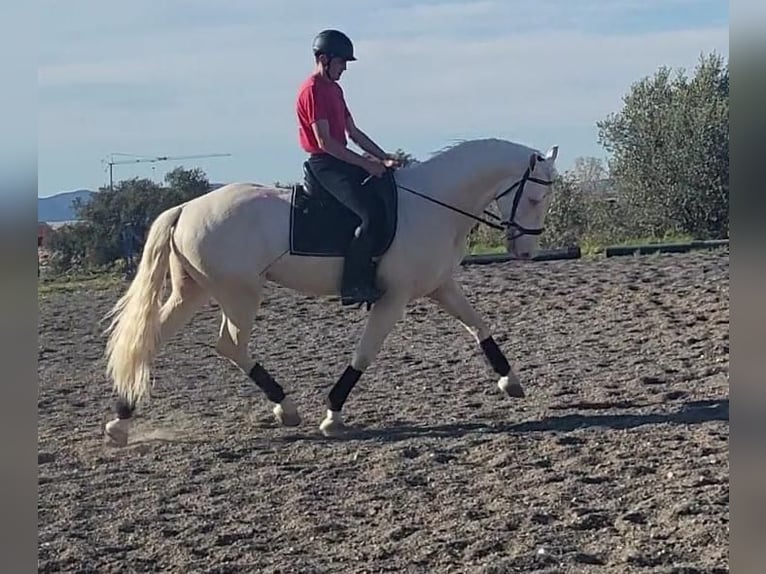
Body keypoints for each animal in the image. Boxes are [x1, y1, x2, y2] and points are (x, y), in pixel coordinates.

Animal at [102, 137, 560, 448]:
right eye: (535, 197)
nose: (526, 251)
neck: (433, 204)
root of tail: (185, 209)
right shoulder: (393, 298)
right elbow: (365, 354)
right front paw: (333, 414)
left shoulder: (440, 286)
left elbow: (479, 326)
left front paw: (511, 381)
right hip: (239, 293)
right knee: (230, 345)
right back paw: (286, 408)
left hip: (193, 291)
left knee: (153, 339)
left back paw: (121, 423)